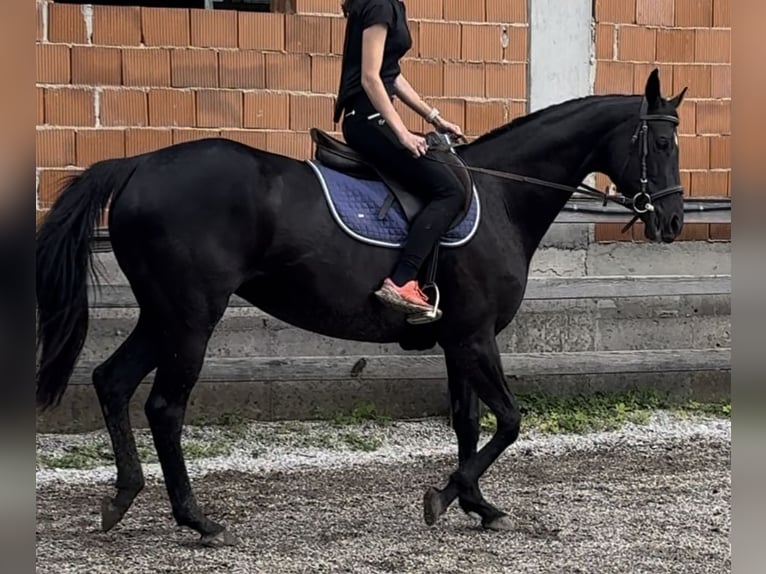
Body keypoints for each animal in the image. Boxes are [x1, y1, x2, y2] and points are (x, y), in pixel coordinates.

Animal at [36, 70, 688, 548]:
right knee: (165, 408)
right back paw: (198, 520)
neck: (502, 193)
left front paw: (478, 505)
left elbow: (468, 421)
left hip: (163, 316)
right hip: (192, 318)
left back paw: (122, 498)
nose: (673, 220)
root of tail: (138, 165)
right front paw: (446, 496)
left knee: (112, 382)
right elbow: (508, 421)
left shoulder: (458, 338)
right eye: (660, 142)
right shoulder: (477, 337)